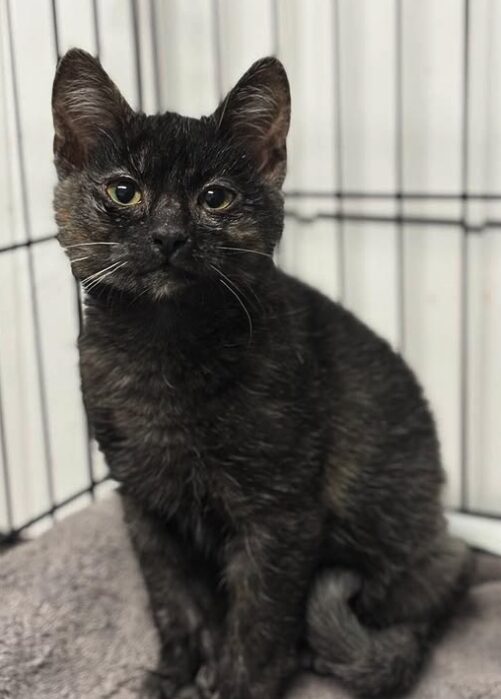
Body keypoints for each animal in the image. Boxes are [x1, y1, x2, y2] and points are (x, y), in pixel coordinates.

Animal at [52, 50, 470, 699]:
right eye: (124, 190)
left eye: (215, 198)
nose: (168, 236)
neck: (164, 352)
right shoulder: (143, 504)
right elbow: (173, 602)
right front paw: (174, 673)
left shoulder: (279, 513)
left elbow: (260, 615)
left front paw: (233, 682)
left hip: (398, 525)